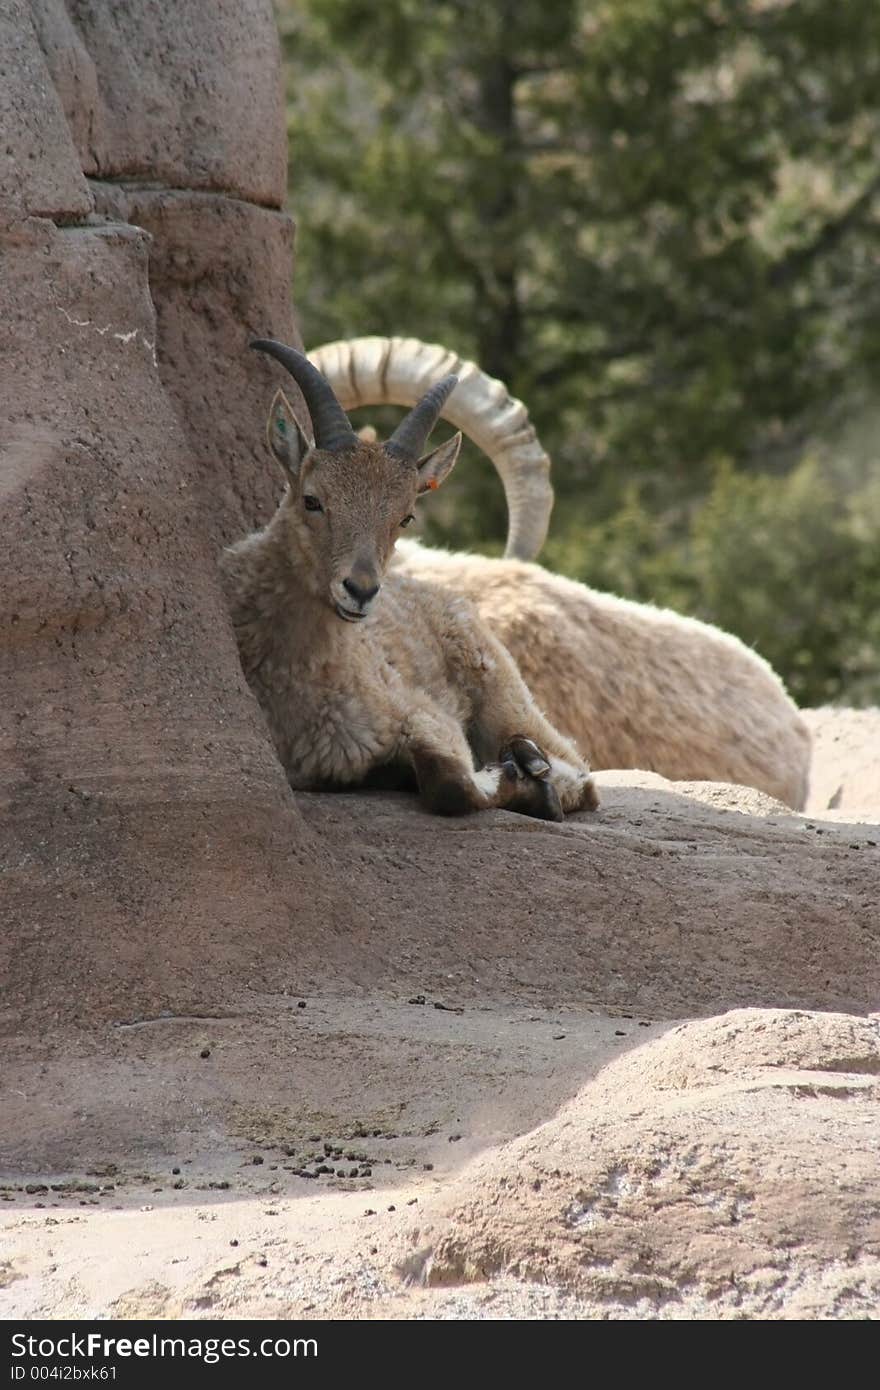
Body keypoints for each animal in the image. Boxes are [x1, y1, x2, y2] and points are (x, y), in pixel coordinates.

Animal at [221, 344, 597, 822]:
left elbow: (452, 783)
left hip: (502, 690)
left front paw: (513, 776)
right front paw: (514, 775)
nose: (360, 590)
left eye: (406, 517)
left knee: (580, 774)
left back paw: (533, 765)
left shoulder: (422, 715)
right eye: (312, 500)